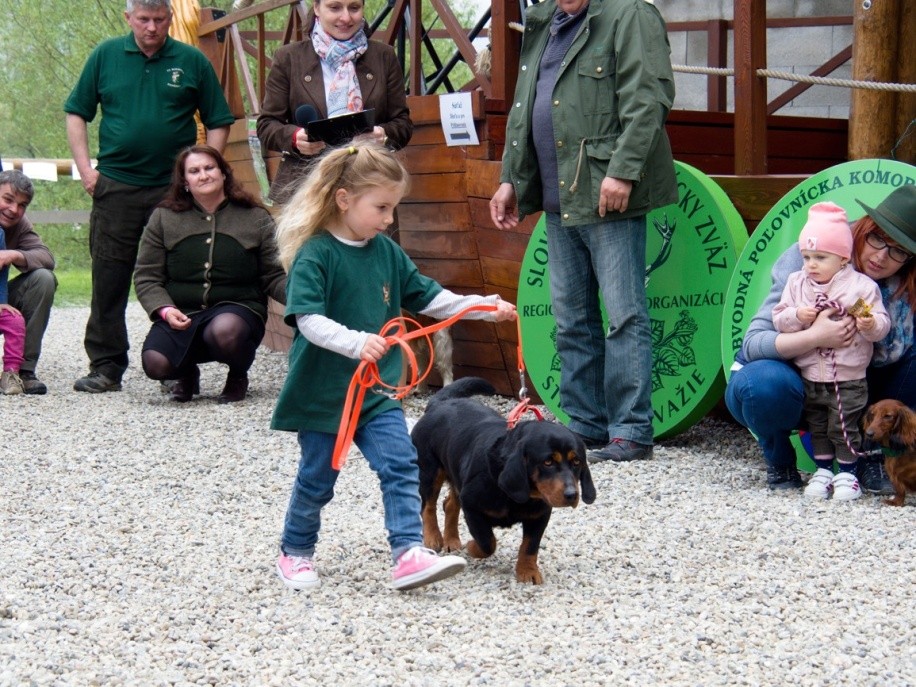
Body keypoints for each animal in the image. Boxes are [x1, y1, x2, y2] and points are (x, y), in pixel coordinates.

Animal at [411, 377, 596, 584]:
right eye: (547, 462)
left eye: (576, 462)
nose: (572, 494)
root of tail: (439, 403)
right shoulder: (471, 505)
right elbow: (487, 542)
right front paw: (472, 547)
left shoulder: (540, 515)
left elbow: (530, 546)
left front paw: (527, 571)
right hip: (429, 471)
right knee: (428, 506)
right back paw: (433, 537)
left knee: (449, 504)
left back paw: (451, 540)